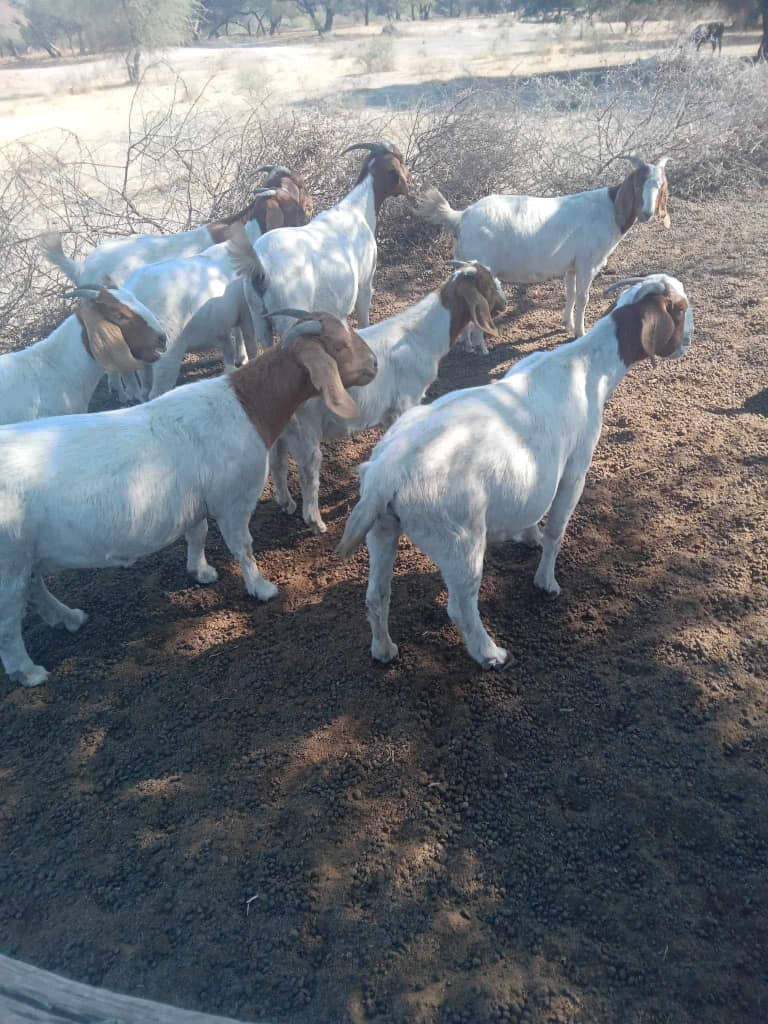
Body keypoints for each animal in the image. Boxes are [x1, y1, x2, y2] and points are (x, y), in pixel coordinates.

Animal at [0, 309, 376, 688]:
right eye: (340, 345)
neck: (246, 405)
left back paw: (68, 618)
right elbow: (243, 545)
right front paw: (260, 587)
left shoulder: (196, 501)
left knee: (34, 589)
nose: (374, 363)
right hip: (9, 563)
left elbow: (198, 533)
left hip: (25, 556)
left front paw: (201, 571)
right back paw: (29, 672)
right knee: (9, 625)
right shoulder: (233, 499)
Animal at [268, 260, 505, 536]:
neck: (421, 336)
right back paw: (316, 522)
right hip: (305, 433)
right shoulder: (406, 401)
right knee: (307, 474)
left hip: (282, 432)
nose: (504, 303)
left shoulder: (391, 411)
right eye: (488, 284)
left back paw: (286, 503)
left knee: (277, 463)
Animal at [339, 272, 696, 671]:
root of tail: (386, 474)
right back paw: (490, 653)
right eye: (681, 309)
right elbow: (557, 529)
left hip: (382, 529)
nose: (689, 340)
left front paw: (529, 535)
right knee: (459, 606)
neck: (588, 366)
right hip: (459, 539)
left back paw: (384, 649)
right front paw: (546, 580)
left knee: (376, 594)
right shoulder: (575, 468)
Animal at [415, 153, 671, 350]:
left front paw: (567, 324)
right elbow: (583, 297)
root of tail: (460, 217)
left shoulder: (572, 266)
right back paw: (480, 347)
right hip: (479, 265)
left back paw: (467, 344)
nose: (647, 214)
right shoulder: (587, 263)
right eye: (637, 185)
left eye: (660, 186)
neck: (608, 210)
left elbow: (570, 293)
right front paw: (580, 332)